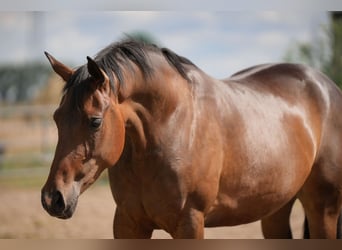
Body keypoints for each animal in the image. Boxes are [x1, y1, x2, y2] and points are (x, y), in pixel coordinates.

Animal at [40, 39, 342, 238]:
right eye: (56, 117)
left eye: (95, 121)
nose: (53, 198)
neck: (173, 125)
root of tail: (327, 88)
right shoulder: (128, 222)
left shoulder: (190, 223)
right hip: (276, 209)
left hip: (323, 208)